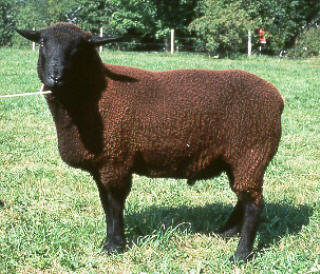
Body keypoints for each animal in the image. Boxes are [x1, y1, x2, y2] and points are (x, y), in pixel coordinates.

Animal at [16, 23, 284, 262]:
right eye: (43, 42)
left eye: (80, 47)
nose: (56, 77)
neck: (93, 95)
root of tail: (276, 97)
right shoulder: (101, 165)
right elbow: (105, 205)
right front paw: (110, 241)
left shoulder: (116, 159)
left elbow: (115, 205)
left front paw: (115, 246)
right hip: (239, 158)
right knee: (244, 196)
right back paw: (228, 231)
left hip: (251, 152)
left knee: (254, 204)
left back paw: (241, 254)